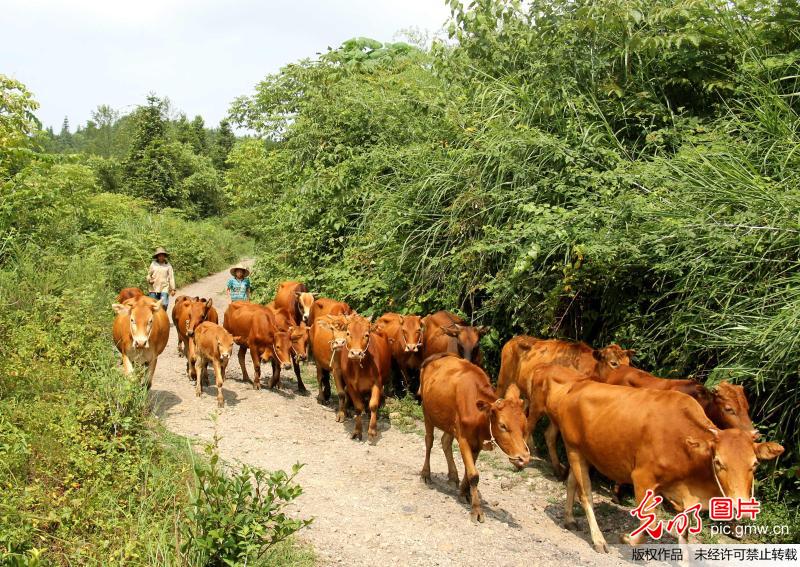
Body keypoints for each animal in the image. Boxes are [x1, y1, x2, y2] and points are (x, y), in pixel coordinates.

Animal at [334, 316, 390, 444]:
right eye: (348, 333)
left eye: (366, 335)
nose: (356, 353)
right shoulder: (350, 385)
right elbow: (358, 407)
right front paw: (357, 431)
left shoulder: (377, 383)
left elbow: (373, 404)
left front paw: (372, 431)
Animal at [418, 356, 532, 524]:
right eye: (503, 426)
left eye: (524, 426)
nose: (523, 458)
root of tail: (437, 357)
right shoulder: (463, 438)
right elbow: (474, 474)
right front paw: (476, 510)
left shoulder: (477, 442)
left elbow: (469, 470)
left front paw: (464, 493)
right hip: (427, 413)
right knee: (429, 441)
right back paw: (426, 474)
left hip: (449, 423)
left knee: (445, 442)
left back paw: (453, 476)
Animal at [544, 380, 780, 552]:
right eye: (718, 462)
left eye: (755, 464)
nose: (742, 506)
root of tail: (578, 386)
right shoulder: (642, 478)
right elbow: (648, 526)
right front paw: (626, 538)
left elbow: (685, 532)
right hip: (574, 450)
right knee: (586, 495)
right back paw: (599, 539)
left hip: (582, 453)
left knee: (572, 482)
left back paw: (569, 519)